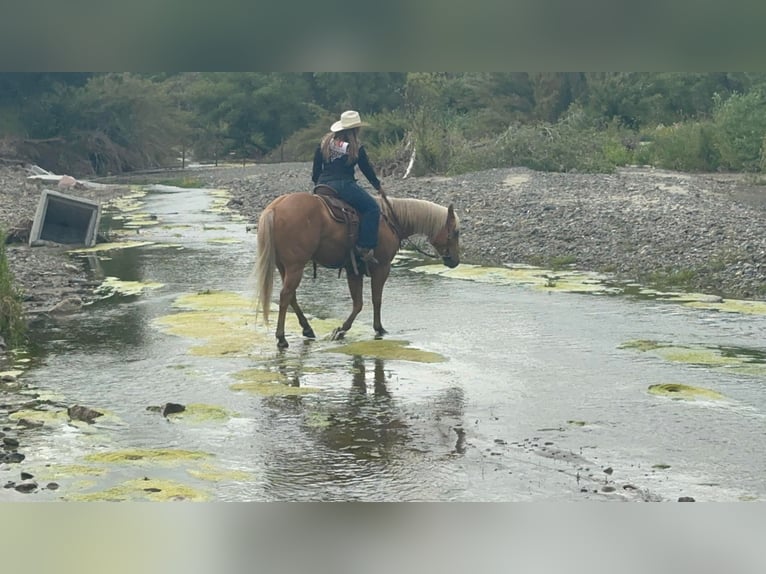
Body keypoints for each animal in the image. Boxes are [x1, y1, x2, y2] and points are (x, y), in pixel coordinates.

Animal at [255, 191, 460, 348]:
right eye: (456, 232)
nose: (455, 261)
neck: (390, 221)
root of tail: (275, 207)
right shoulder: (382, 267)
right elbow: (375, 299)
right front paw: (377, 328)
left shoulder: (353, 270)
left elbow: (358, 303)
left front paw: (340, 330)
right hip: (295, 266)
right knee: (285, 296)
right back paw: (282, 338)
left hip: (284, 267)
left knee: (291, 297)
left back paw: (307, 329)